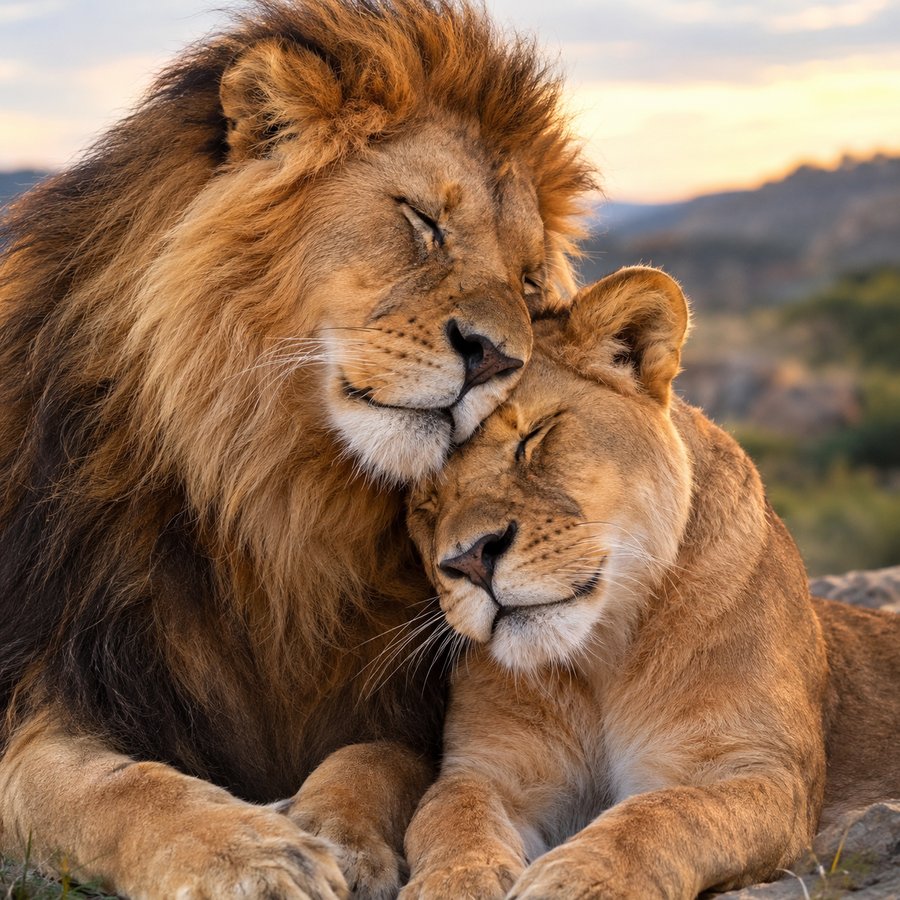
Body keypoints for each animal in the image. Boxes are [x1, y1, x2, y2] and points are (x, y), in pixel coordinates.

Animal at [0, 1, 593, 897]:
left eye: (528, 285)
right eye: (424, 221)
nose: (496, 357)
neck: (279, 496)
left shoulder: (412, 707)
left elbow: (375, 757)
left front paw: (338, 835)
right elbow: (108, 789)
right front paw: (248, 854)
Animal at [403, 267, 900, 899]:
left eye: (533, 437)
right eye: (425, 501)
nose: (470, 560)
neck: (601, 659)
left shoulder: (759, 767)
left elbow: (665, 814)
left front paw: (580, 878)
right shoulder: (490, 768)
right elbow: (448, 818)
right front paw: (457, 882)